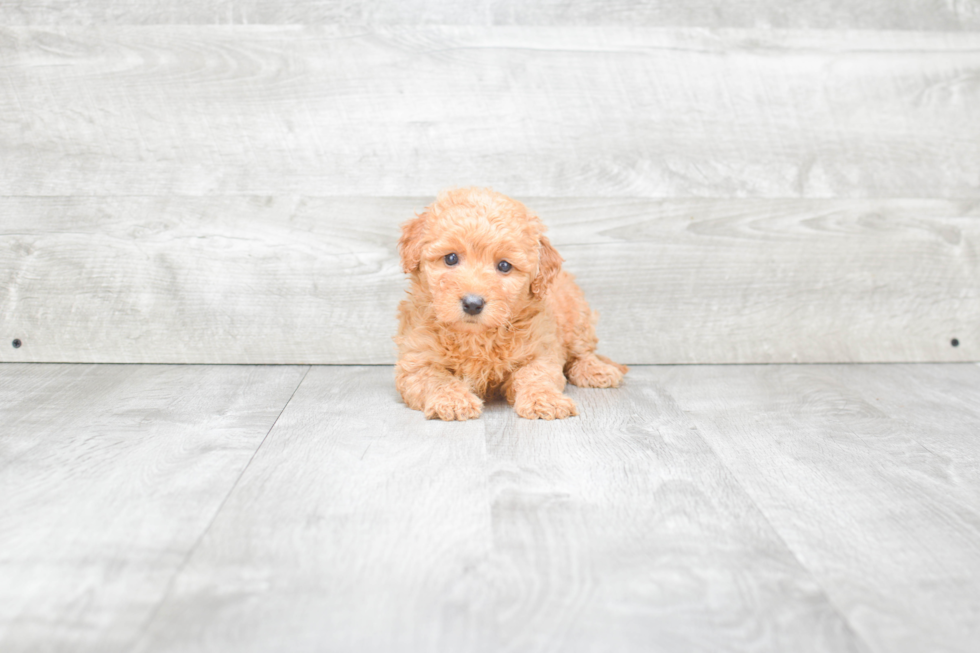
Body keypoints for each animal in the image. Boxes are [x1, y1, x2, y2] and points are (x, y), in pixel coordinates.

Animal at [396, 186, 628, 420]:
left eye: (504, 266)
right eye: (450, 258)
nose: (473, 304)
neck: (476, 337)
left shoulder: (540, 352)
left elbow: (535, 375)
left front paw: (545, 400)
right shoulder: (417, 360)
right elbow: (436, 379)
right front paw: (452, 400)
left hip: (577, 316)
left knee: (582, 352)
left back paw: (596, 370)